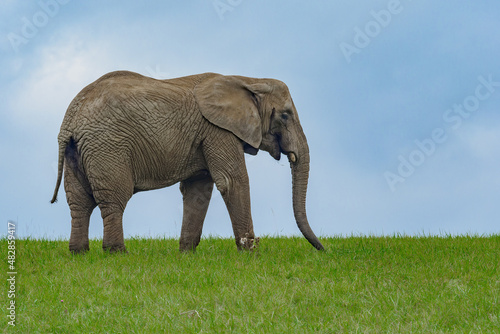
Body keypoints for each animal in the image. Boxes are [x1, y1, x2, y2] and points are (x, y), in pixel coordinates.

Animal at [51, 70, 324, 253]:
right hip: (108, 146)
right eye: (285, 115)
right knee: (114, 199)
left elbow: (198, 190)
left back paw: (79, 253)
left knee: (79, 202)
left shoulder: (206, 134)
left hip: (78, 150)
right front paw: (250, 253)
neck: (248, 79)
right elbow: (232, 181)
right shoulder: (218, 130)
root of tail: (71, 116)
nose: (323, 249)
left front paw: (186, 254)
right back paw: (117, 253)